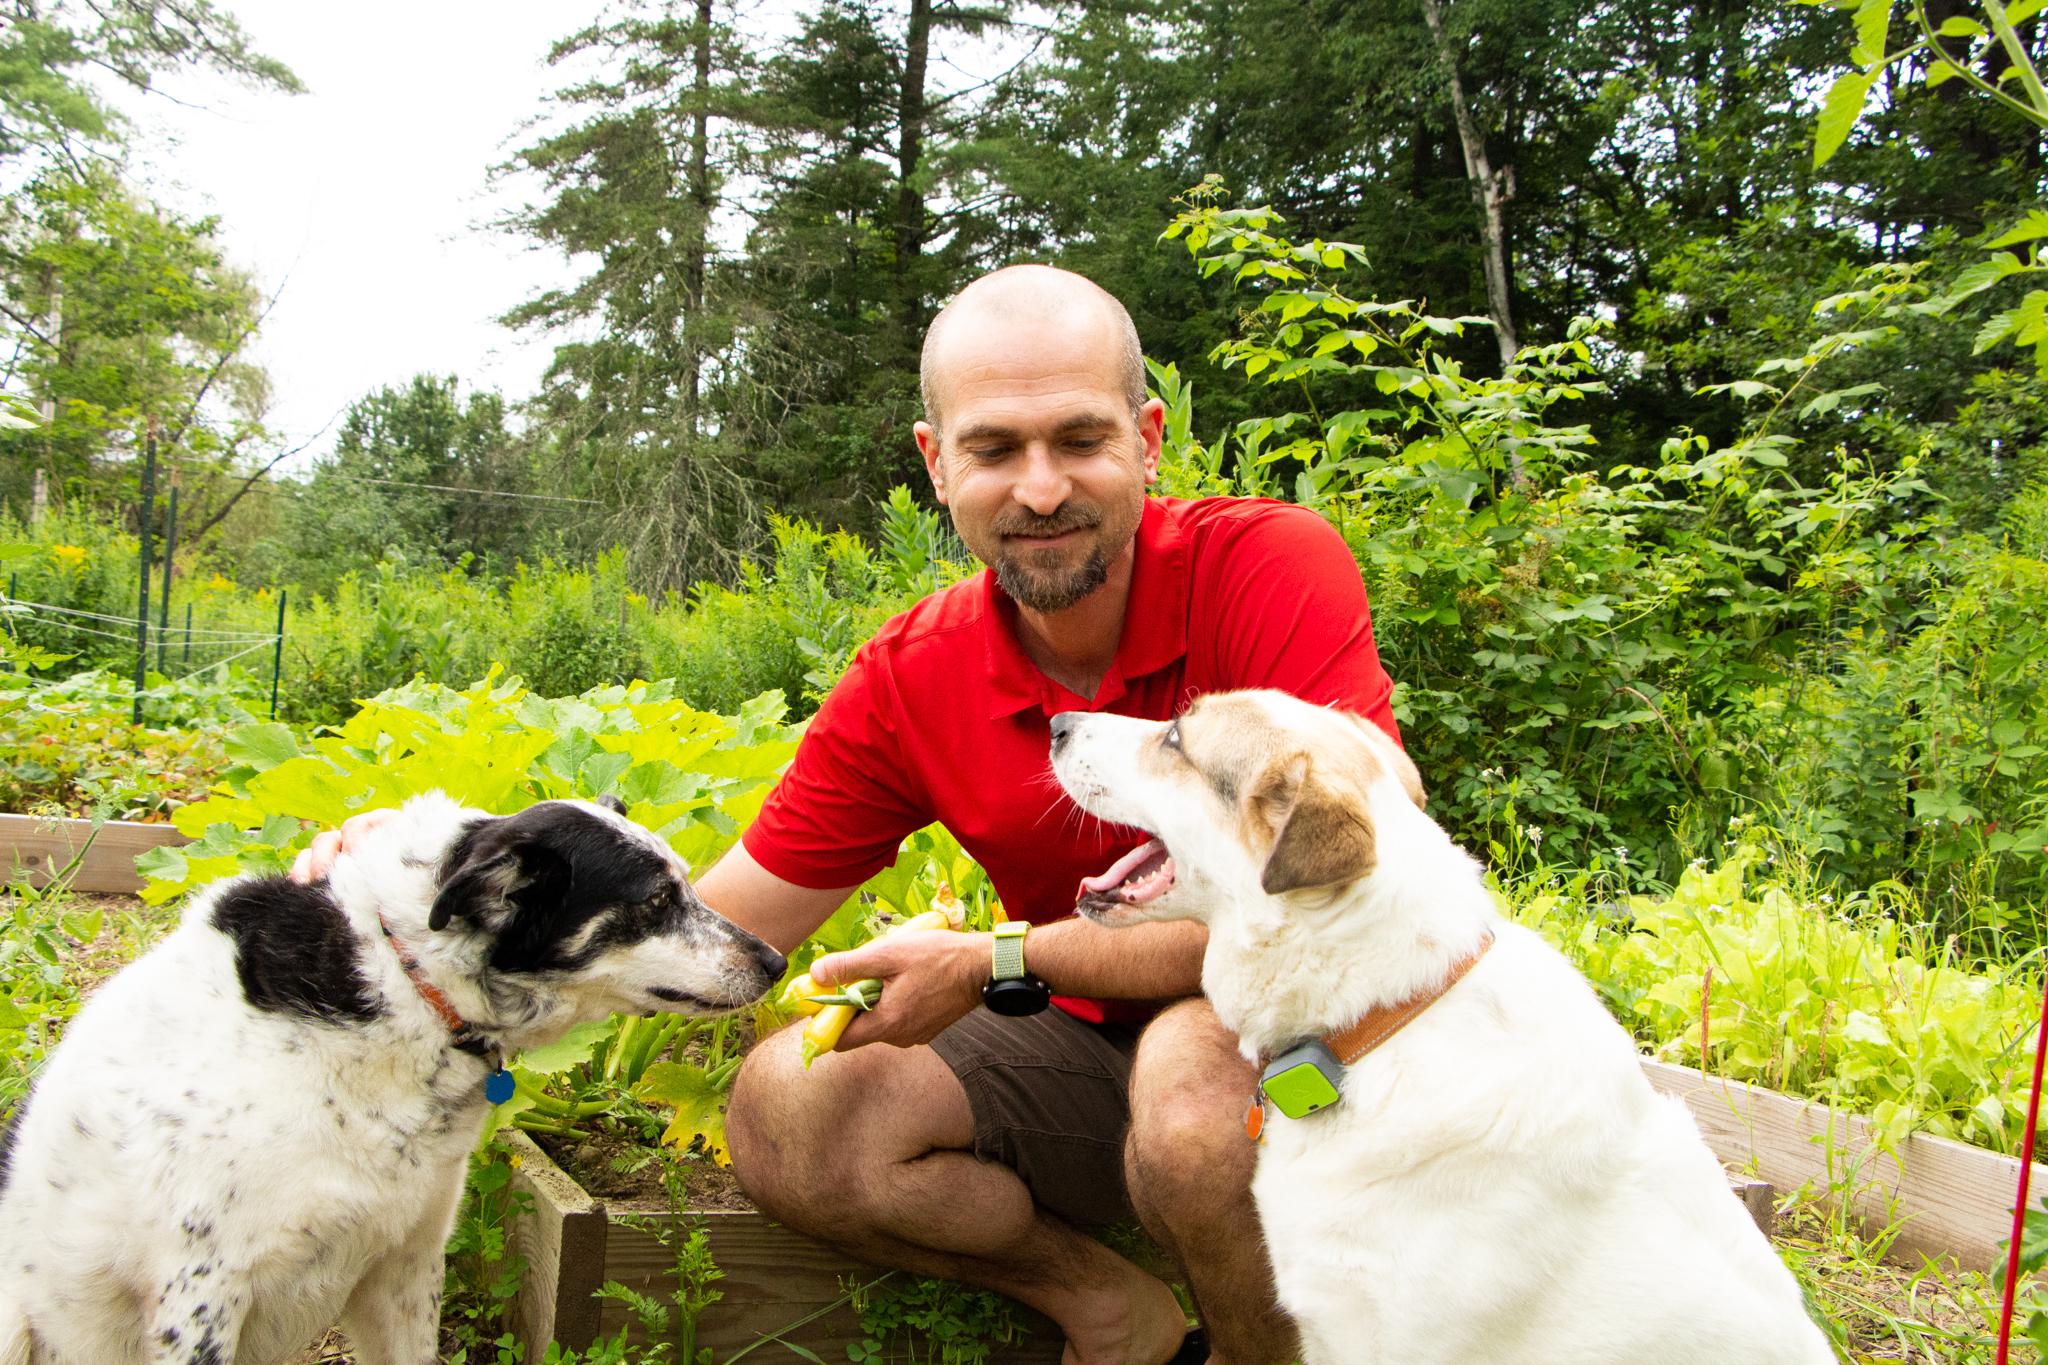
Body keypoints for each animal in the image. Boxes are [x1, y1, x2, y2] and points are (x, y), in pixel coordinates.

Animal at [0, 789, 782, 1365]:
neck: (404, 977)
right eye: (655, 900)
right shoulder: (201, 1291)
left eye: (685, 882)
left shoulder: (405, 1263)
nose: (775, 961)